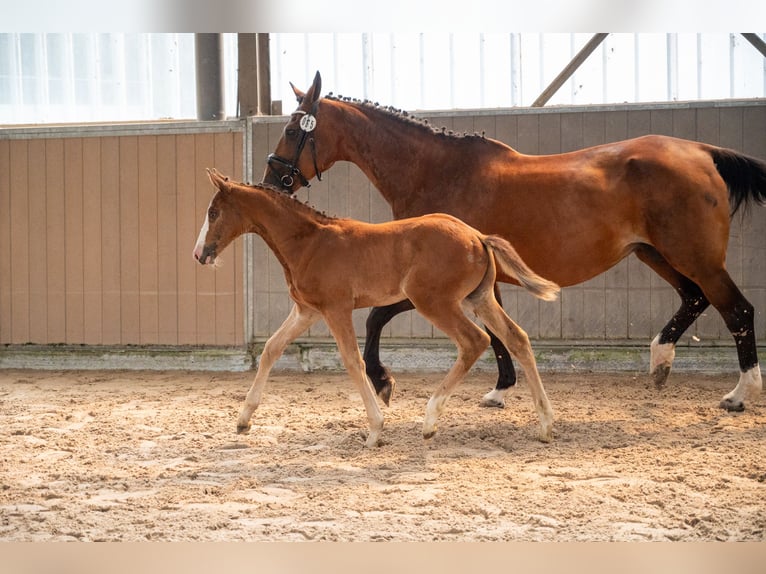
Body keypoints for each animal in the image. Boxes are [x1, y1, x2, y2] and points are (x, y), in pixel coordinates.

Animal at [193, 169, 559, 447]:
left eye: (213, 213)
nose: (199, 254)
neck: (309, 243)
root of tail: (478, 236)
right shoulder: (307, 310)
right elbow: (271, 348)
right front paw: (243, 420)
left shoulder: (336, 309)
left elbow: (352, 361)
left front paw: (375, 430)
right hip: (478, 298)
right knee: (517, 338)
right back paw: (545, 425)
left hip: (434, 301)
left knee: (474, 341)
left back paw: (430, 420)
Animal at [263, 71, 766, 413]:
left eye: (290, 130)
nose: (272, 181)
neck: (439, 172)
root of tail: (701, 152)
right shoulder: (481, 283)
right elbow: (498, 334)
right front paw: (500, 389)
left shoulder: (430, 285)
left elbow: (377, 318)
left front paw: (382, 380)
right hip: (656, 253)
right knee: (695, 298)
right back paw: (660, 362)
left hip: (694, 257)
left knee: (737, 310)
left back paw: (739, 393)